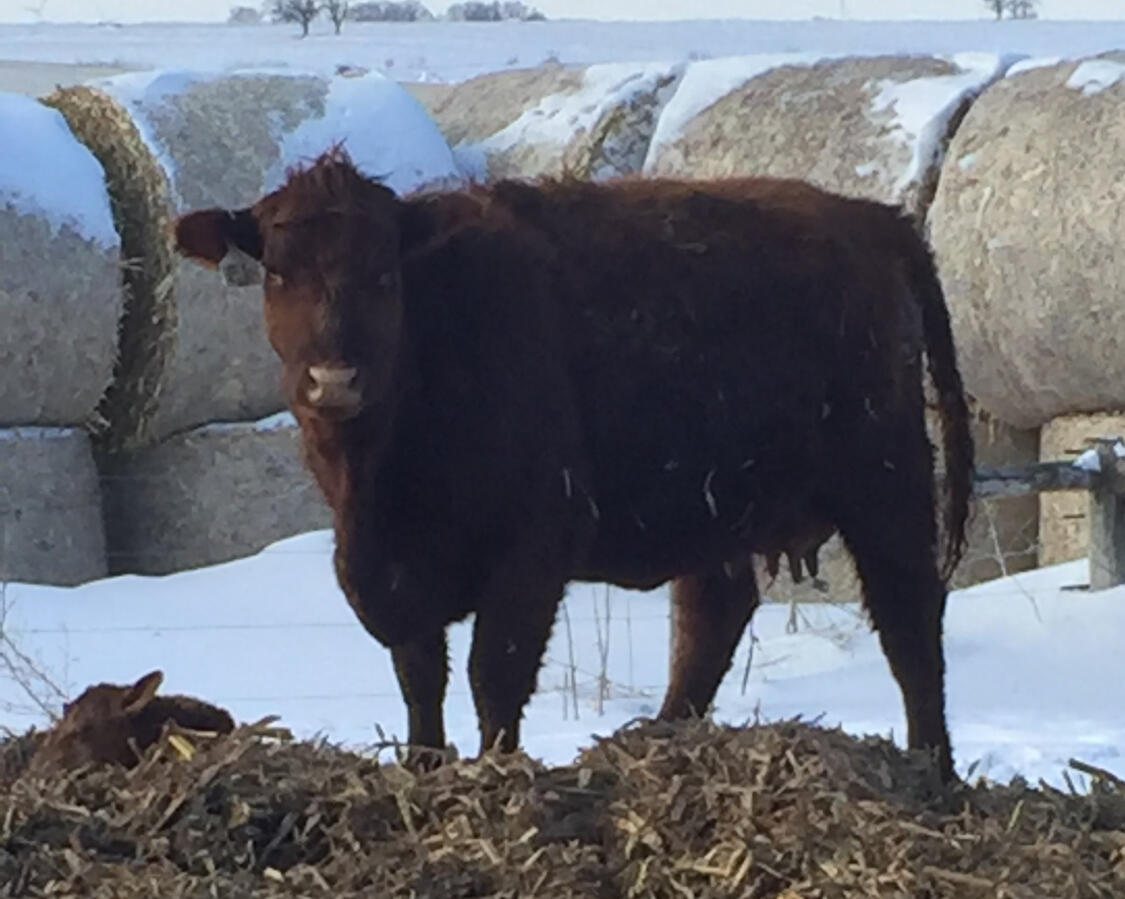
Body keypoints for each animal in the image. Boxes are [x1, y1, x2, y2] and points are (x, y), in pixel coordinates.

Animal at [174, 150, 973, 781]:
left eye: (383, 275)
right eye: (279, 274)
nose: (334, 379)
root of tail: (871, 219)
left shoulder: (534, 545)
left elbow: (492, 674)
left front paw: (495, 774)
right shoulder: (390, 572)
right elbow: (419, 678)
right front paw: (423, 767)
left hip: (884, 482)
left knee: (909, 627)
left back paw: (934, 771)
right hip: (714, 508)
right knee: (711, 621)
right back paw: (660, 736)